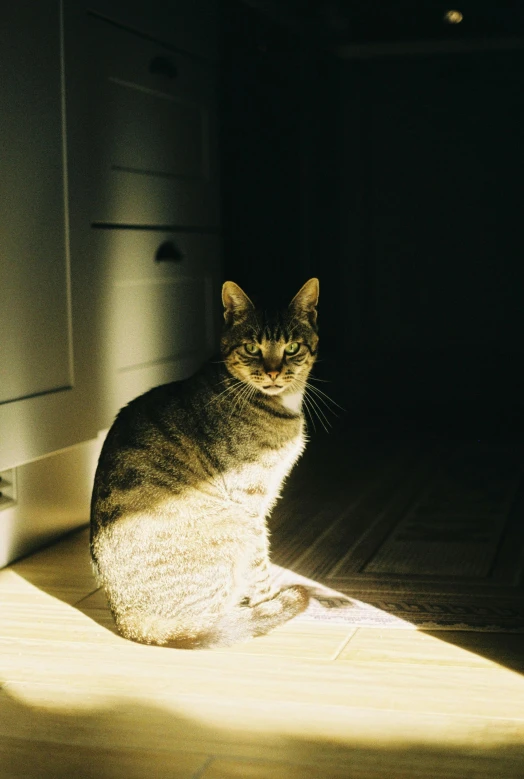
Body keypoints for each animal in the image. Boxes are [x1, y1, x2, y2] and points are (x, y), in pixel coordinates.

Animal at [90, 278, 320, 648]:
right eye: (252, 348)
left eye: (293, 347)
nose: (273, 372)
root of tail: (127, 620)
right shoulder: (250, 504)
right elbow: (260, 563)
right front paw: (268, 601)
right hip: (232, 524)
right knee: (206, 624)